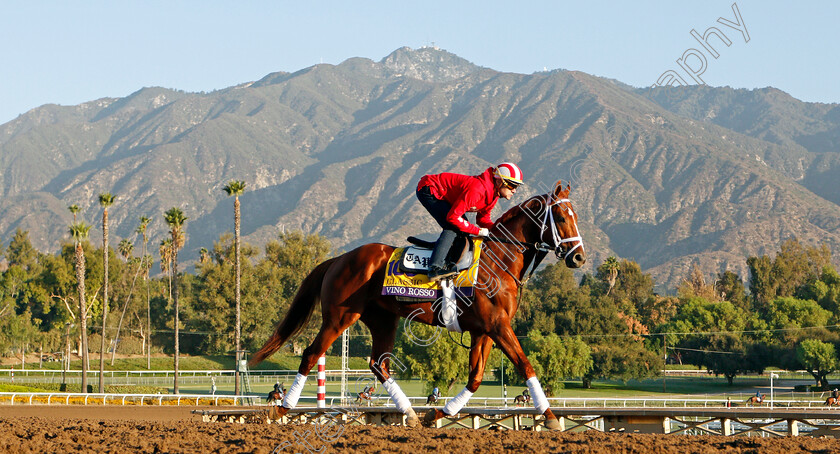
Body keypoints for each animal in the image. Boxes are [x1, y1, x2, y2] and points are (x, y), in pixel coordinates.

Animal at [249, 180, 584, 430]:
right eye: (562, 218)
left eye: (576, 217)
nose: (579, 257)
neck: (497, 261)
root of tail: (339, 258)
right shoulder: (498, 326)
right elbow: (525, 364)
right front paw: (551, 417)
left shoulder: (484, 330)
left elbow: (475, 378)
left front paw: (437, 413)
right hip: (339, 317)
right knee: (311, 353)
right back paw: (282, 408)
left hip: (383, 320)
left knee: (379, 364)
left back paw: (409, 413)